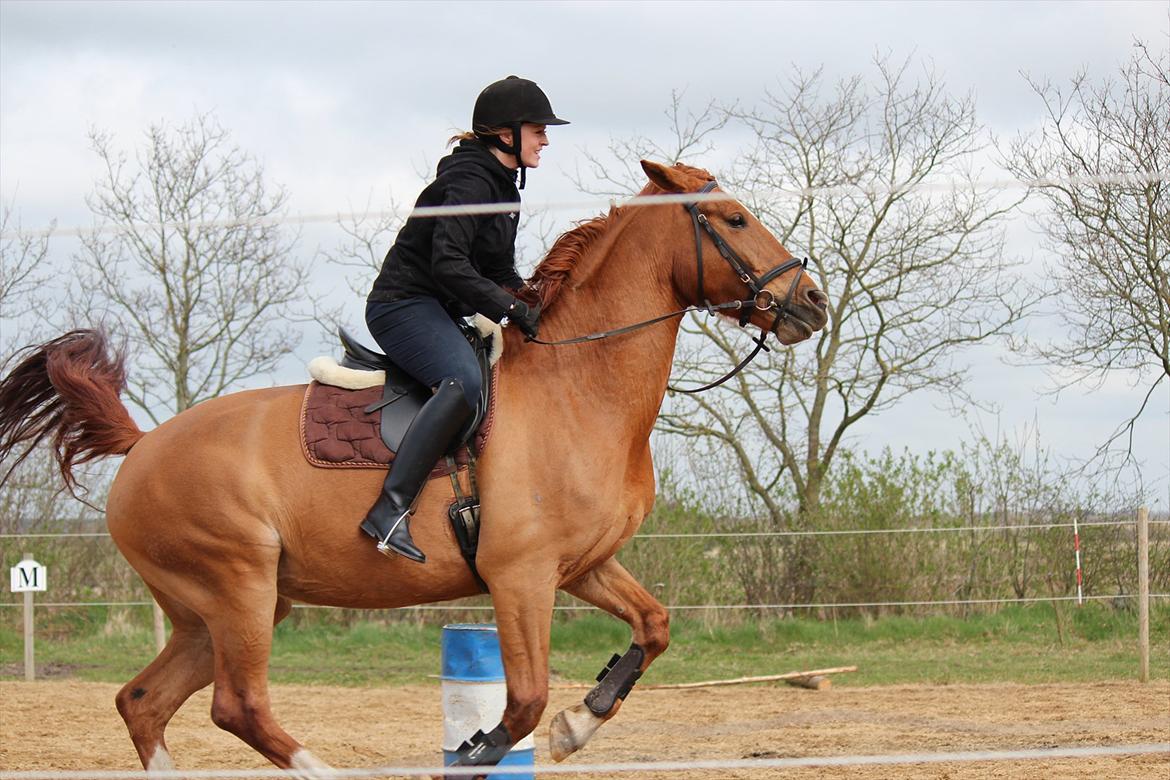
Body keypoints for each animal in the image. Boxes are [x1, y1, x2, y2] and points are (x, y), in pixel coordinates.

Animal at [0, 160, 828, 776]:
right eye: (732, 219)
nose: (812, 301)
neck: (577, 384)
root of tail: (144, 446)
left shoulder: (584, 565)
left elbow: (653, 628)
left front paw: (579, 725)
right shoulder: (520, 576)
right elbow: (522, 700)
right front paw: (480, 749)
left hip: (217, 610)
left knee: (144, 702)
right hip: (237, 589)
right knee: (238, 706)